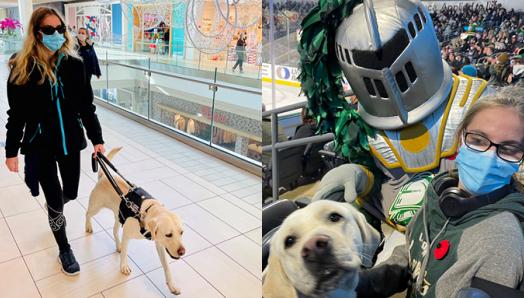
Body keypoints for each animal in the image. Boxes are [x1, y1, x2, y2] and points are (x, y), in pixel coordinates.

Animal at [85, 148, 185, 294]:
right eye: (168, 234)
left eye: (182, 233)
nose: (182, 252)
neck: (147, 212)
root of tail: (103, 176)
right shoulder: (127, 234)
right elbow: (126, 253)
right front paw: (123, 266)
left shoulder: (159, 244)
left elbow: (167, 267)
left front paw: (172, 285)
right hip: (96, 206)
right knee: (87, 214)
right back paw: (88, 226)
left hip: (118, 215)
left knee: (114, 231)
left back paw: (118, 245)